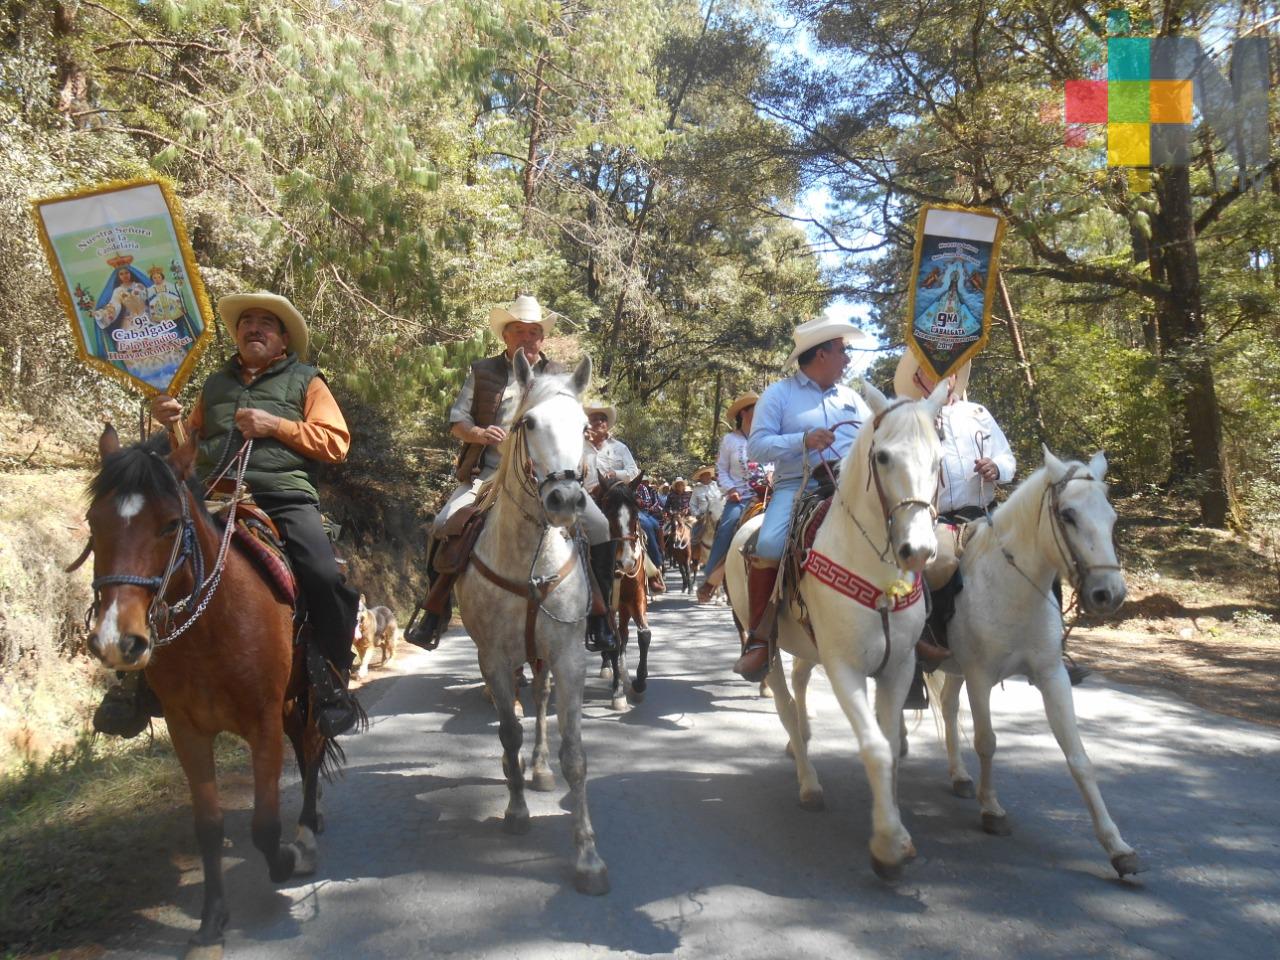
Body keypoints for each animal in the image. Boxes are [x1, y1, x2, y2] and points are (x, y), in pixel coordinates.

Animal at [79, 430, 340, 960]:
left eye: (169, 524)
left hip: (306, 701)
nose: (117, 641)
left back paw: (305, 835)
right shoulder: (187, 729)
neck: (212, 625)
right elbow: (209, 826)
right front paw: (210, 924)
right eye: (95, 521)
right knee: (306, 754)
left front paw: (285, 859)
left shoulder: (262, 721)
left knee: (310, 751)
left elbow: (264, 826)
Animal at [453, 355, 611, 901]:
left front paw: (588, 857)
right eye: (528, 424)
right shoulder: (494, 660)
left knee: (541, 701)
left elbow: (576, 755)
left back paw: (540, 769)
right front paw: (516, 810)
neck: (528, 561)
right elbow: (507, 733)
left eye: (584, 427)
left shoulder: (569, 657)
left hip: (544, 656)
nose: (565, 498)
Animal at [727, 381, 947, 880]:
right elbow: (875, 747)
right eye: (882, 457)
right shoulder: (845, 667)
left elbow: (891, 744)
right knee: (784, 703)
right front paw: (887, 845)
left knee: (800, 682)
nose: (918, 550)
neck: (876, 572)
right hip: (768, 645)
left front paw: (898, 828)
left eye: (939, 458)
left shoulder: (899, 667)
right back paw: (808, 782)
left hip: (808, 647)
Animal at [931, 448, 1141, 875]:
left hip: (954, 668)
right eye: (1069, 515)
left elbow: (1079, 757)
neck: (1012, 589)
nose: (1108, 594)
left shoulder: (1051, 676)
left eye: (1112, 517)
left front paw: (1117, 846)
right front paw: (992, 810)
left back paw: (959, 776)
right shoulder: (980, 677)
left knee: (947, 707)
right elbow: (987, 742)